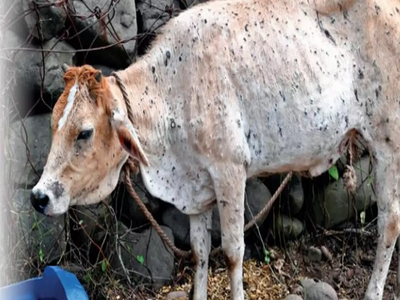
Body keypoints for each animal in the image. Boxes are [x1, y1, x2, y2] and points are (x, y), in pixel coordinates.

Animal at [30, 0, 400, 298]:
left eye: (85, 132)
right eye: (53, 125)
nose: (39, 197)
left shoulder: (230, 170)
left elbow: (233, 251)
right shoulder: (197, 188)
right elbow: (199, 252)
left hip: (388, 145)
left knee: (389, 223)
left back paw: (373, 293)